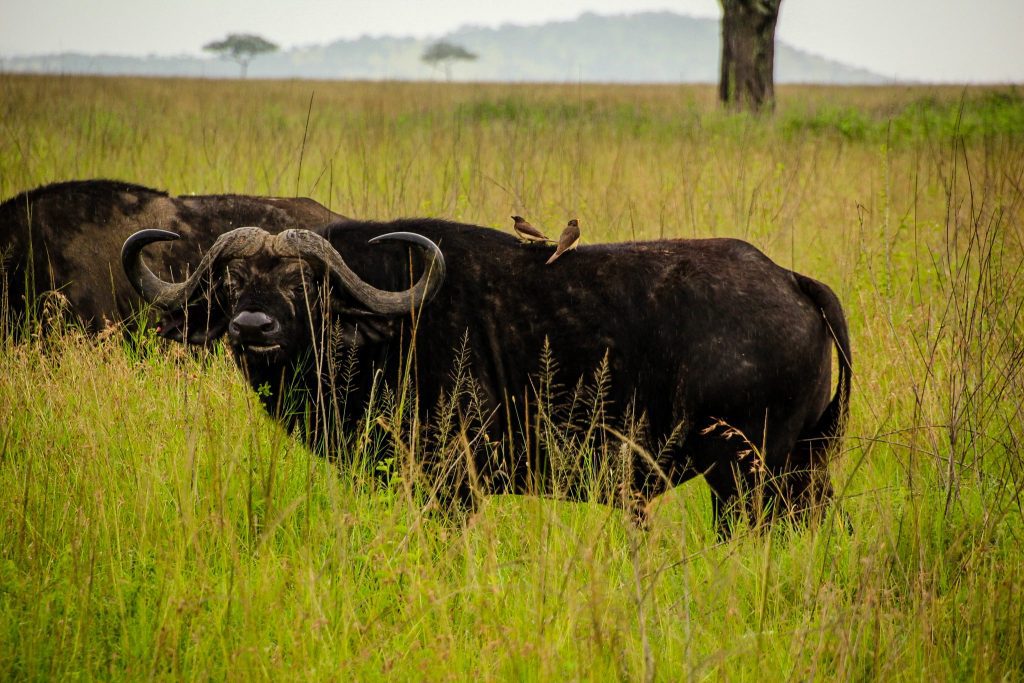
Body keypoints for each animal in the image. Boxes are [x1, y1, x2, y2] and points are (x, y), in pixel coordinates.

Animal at [123, 222, 851, 532]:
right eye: (229, 281)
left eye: (305, 284)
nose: (252, 327)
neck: (391, 326)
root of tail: (791, 280)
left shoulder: (452, 487)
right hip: (800, 473)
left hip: (747, 475)